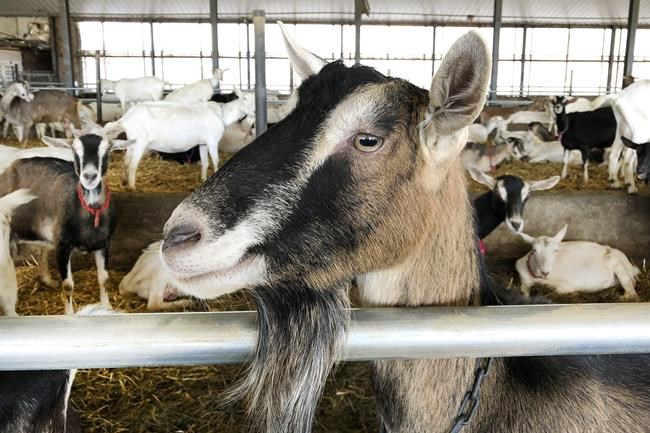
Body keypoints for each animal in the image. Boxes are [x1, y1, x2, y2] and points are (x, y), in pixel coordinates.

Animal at [0, 133, 121, 313]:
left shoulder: (104, 244)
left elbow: (104, 278)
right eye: (75, 152)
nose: (89, 176)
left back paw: (47, 280)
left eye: (107, 153)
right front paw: (69, 314)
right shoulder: (63, 247)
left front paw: (107, 306)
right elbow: (68, 286)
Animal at [104, 95, 255, 190]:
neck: (221, 114)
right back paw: (132, 187)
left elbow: (205, 162)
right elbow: (216, 161)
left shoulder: (203, 143)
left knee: (126, 160)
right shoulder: (212, 140)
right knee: (132, 164)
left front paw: (203, 179)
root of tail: (126, 118)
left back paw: (124, 181)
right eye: (245, 98)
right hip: (140, 142)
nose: (253, 111)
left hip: (132, 141)